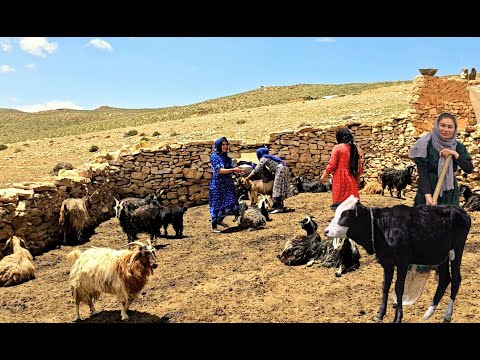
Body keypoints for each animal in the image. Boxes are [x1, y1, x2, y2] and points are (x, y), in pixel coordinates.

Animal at [324, 194, 470, 324]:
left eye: (346, 214)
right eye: (337, 212)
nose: (326, 231)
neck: (381, 227)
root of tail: (460, 211)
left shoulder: (402, 262)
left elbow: (399, 287)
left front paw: (398, 317)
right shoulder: (387, 263)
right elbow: (385, 286)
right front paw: (380, 314)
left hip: (457, 251)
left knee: (456, 280)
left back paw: (447, 315)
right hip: (441, 256)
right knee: (444, 279)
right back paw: (429, 313)